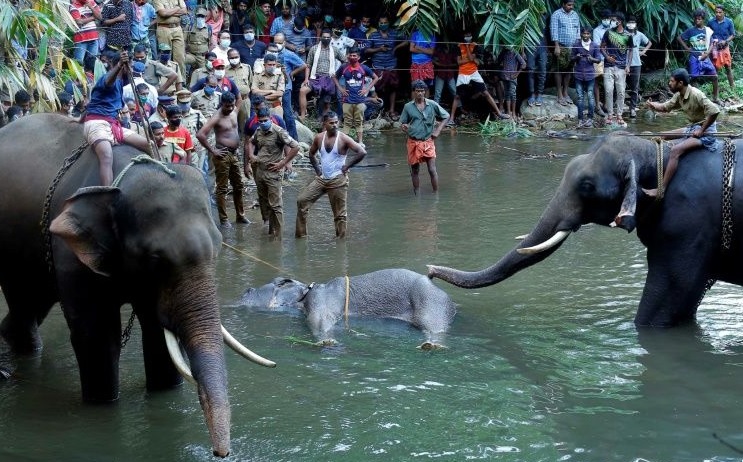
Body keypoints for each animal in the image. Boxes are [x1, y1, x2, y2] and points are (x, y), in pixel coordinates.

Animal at [0, 113, 276, 458]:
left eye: (218, 248)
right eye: (155, 259)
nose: (221, 453)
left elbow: (157, 333)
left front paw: (164, 394)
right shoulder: (70, 253)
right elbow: (98, 336)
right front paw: (103, 404)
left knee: (31, 303)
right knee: (24, 301)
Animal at [241, 268, 456, 348]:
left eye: (250, 291)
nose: (246, 290)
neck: (304, 293)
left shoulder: (320, 301)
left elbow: (319, 321)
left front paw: (327, 342)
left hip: (431, 303)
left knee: (434, 327)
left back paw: (431, 345)